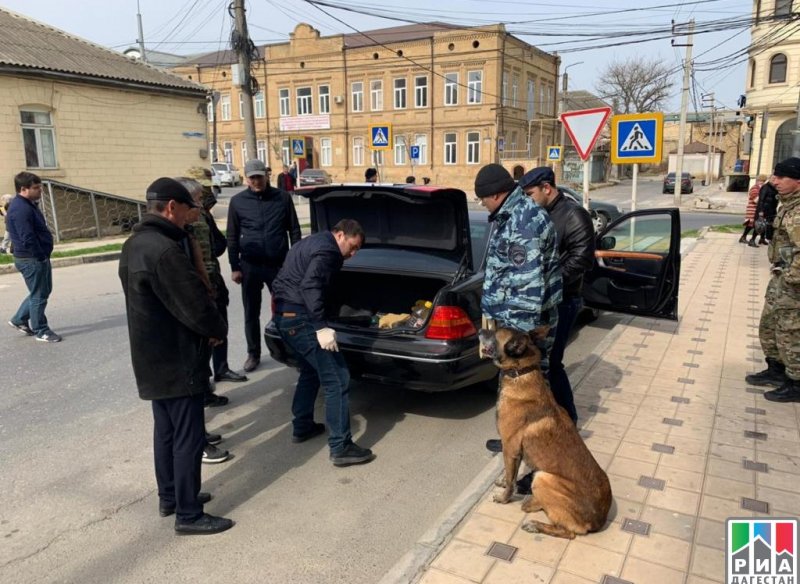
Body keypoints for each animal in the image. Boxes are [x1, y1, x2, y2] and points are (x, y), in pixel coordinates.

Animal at [482, 326, 612, 540]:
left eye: (495, 332)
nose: (480, 329)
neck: (520, 373)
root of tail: (598, 521)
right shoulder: (513, 450)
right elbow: (509, 472)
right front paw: (502, 481)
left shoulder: (509, 447)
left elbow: (511, 479)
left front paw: (504, 497)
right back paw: (534, 503)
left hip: (543, 477)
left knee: (568, 532)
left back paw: (535, 524)